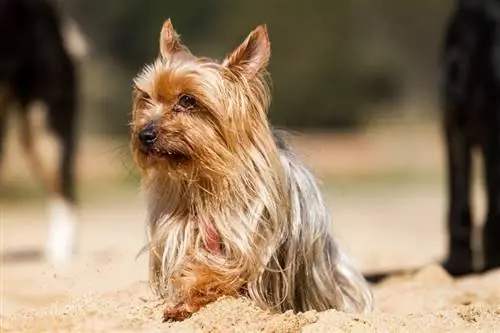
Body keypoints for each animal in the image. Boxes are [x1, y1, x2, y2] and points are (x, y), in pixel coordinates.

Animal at [131, 19, 374, 320]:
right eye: (146, 98)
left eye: (187, 100)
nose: (145, 134)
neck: (205, 178)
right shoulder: (180, 231)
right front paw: (181, 301)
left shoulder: (248, 239)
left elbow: (220, 270)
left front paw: (192, 294)